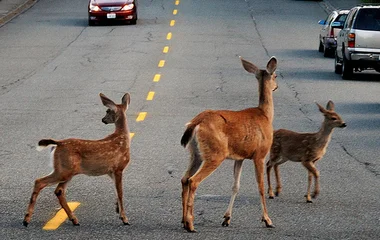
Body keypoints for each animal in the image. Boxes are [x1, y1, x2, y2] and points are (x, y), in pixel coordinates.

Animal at [23, 92, 132, 227]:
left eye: (107, 111)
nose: (103, 120)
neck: (122, 139)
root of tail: (58, 143)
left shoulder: (111, 171)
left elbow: (117, 192)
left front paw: (117, 210)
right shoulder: (118, 168)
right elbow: (121, 192)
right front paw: (124, 218)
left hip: (66, 170)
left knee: (58, 191)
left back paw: (74, 219)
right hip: (64, 170)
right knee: (40, 182)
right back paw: (26, 220)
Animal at [181, 56, 280, 232]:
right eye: (275, 75)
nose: (276, 86)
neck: (265, 115)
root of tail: (195, 123)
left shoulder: (240, 157)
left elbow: (235, 186)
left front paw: (227, 218)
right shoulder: (260, 154)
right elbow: (260, 186)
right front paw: (267, 220)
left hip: (196, 153)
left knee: (184, 179)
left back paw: (183, 221)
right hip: (215, 153)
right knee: (193, 181)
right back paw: (191, 224)